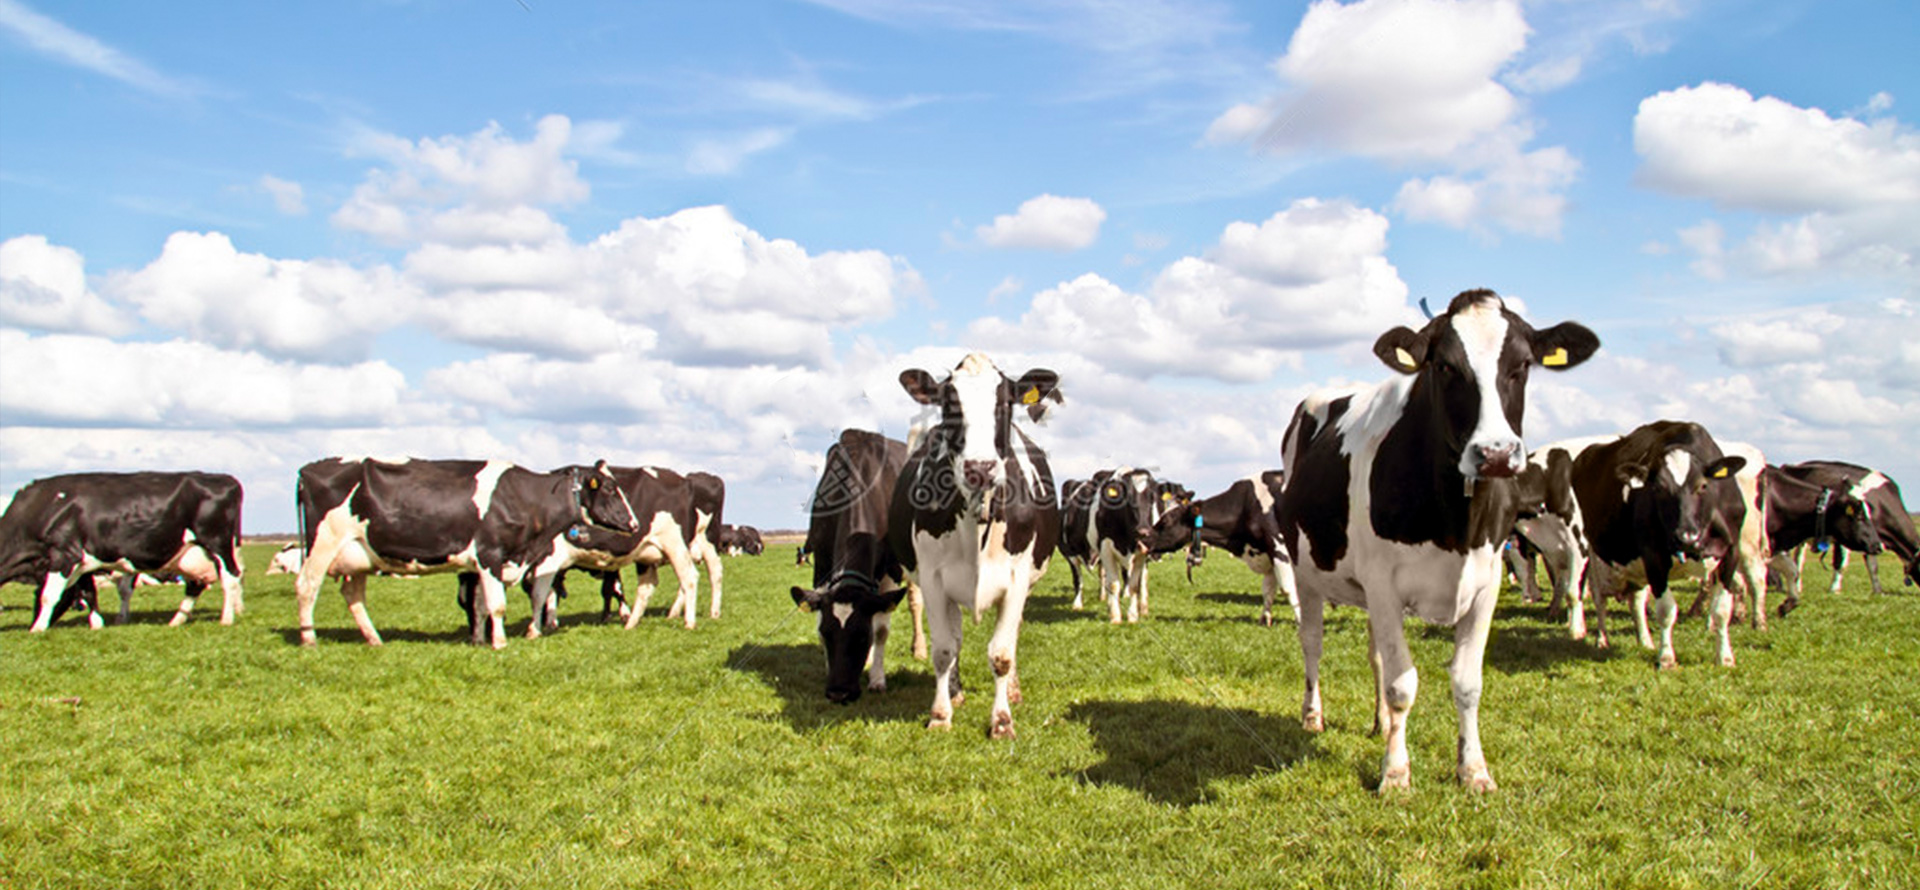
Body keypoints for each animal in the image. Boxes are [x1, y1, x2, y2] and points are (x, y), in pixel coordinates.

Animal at [0, 471, 247, 632]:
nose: (32, 621)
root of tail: (225, 478)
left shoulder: (64, 555)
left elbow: (49, 595)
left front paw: (38, 628)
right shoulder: (83, 561)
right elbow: (89, 592)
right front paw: (97, 624)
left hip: (218, 543)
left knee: (230, 577)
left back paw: (226, 618)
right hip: (190, 554)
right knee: (196, 585)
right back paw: (177, 621)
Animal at [783, 429, 925, 702]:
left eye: (862, 636)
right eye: (826, 634)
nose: (839, 693)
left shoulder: (889, 571)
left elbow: (881, 628)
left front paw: (877, 680)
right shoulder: (822, 563)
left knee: (916, 603)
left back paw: (919, 649)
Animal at [887, 351, 1067, 740]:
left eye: (1005, 404)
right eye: (949, 404)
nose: (980, 468)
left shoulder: (1017, 579)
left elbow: (1002, 653)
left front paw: (1001, 721)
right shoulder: (934, 580)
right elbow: (943, 649)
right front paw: (940, 715)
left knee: (1013, 635)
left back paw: (1013, 692)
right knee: (954, 638)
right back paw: (955, 693)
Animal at [1274, 287, 1605, 794]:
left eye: (1523, 364)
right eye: (1445, 366)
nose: (1494, 454)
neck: (1456, 522)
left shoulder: (1487, 583)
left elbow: (1466, 682)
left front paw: (1473, 770)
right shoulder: (1384, 583)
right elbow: (1402, 684)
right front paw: (1395, 774)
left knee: (1375, 654)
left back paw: (1380, 724)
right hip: (1306, 569)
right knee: (1312, 642)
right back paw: (1314, 714)